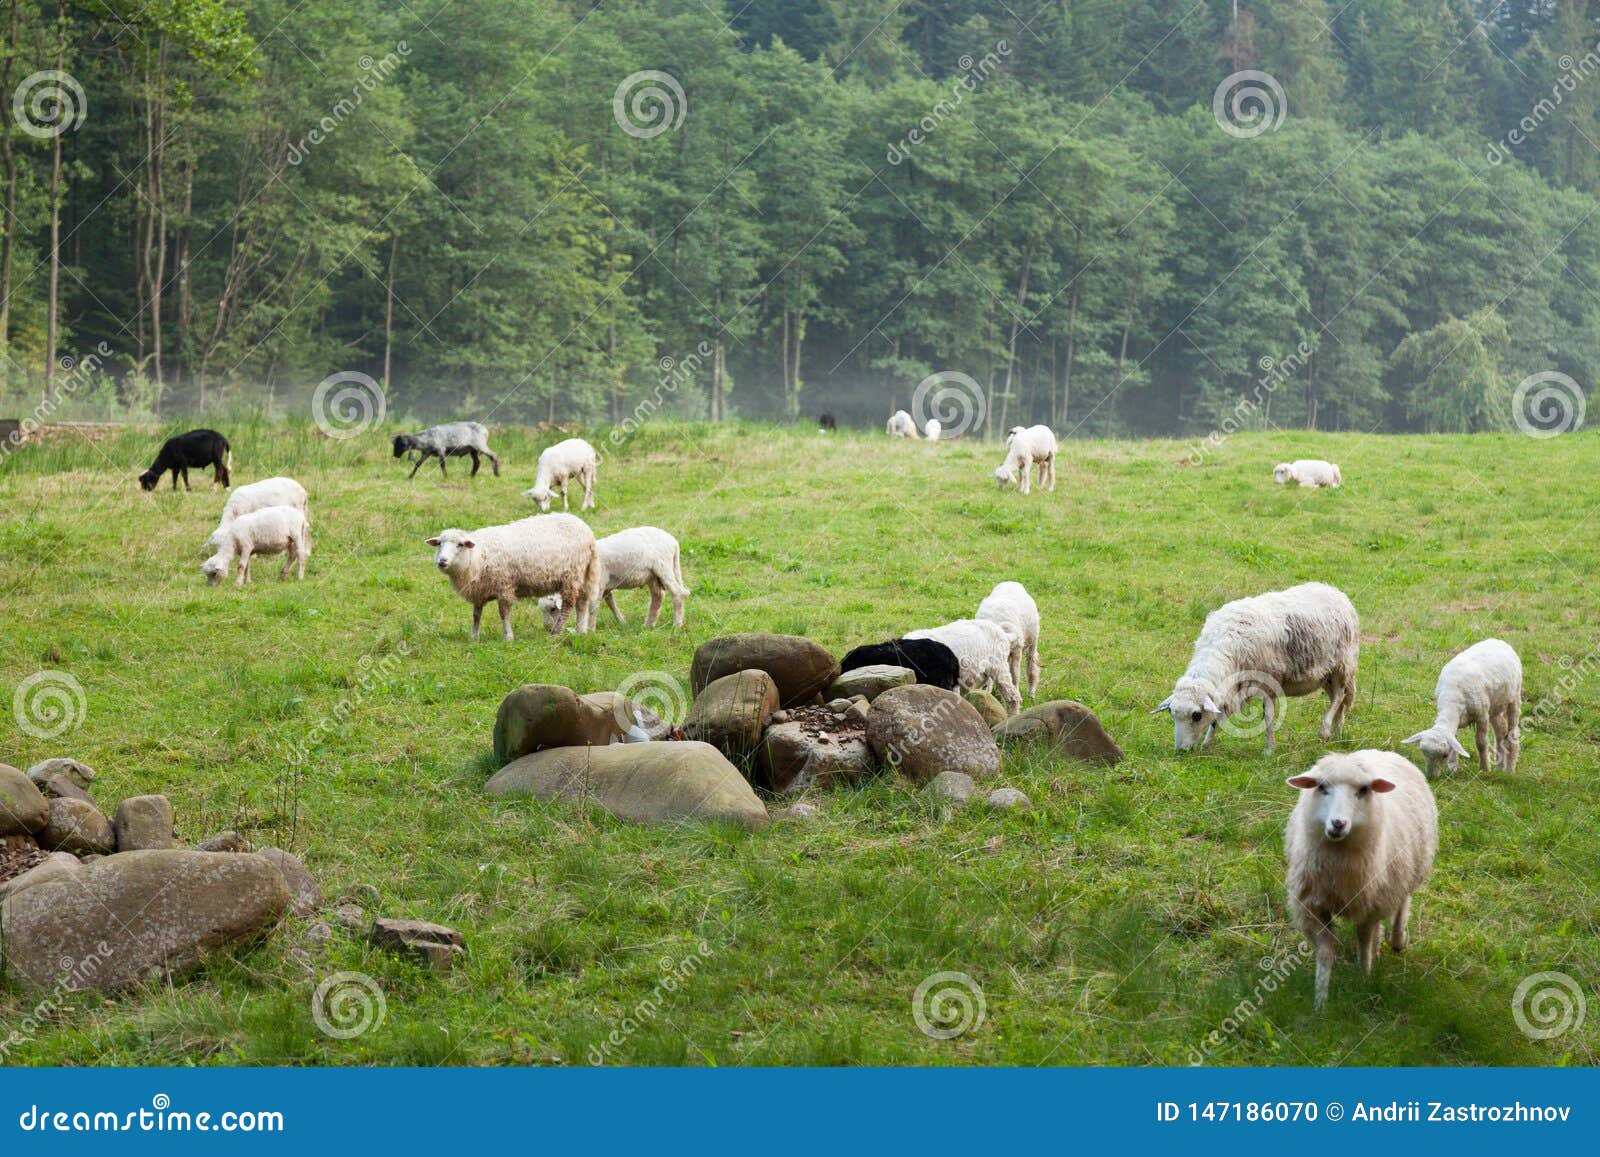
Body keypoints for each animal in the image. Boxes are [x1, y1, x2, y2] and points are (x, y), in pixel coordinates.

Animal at [426, 513, 599, 641]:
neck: (478, 555)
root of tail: (586, 529)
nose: (442, 561)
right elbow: (476, 614)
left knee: (568, 606)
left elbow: (504, 613)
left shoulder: (504, 586)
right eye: (440, 543)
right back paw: (580, 631)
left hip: (571, 576)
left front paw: (508, 636)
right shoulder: (480, 590)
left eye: (460, 544)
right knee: (582, 603)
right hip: (581, 576)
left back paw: (556, 633)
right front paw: (474, 637)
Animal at [537, 526, 691, 631]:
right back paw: (648, 624)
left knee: (677, 593)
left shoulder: (599, 584)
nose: (547, 628)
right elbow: (610, 603)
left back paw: (676, 625)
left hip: (663, 567)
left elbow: (593, 607)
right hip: (651, 575)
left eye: (553, 609)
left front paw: (590, 630)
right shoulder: (606, 586)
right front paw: (621, 621)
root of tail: (673, 541)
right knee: (658, 596)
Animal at [1154, 581, 1359, 753]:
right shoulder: (1231, 689)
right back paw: (1337, 733)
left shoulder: (1268, 682)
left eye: (1196, 715)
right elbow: (1217, 718)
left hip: (1342, 665)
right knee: (1339, 700)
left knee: (1339, 696)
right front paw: (1207, 744)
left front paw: (1269, 749)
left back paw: (1325, 730)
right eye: (1172, 713)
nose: (1181, 751)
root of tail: (1335, 591)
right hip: (1326, 675)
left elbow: (1268, 716)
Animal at [1285, 749, 1438, 1010]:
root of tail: (1380, 751)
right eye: (1322, 787)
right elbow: (1326, 952)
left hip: (1404, 872)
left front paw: (1364, 979)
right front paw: (1320, 1003)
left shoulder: (1370, 905)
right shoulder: (1312, 907)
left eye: (1364, 790)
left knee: (1402, 904)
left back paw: (1397, 940)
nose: (1338, 823)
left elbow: (1364, 942)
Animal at [1402, 638, 1522, 777]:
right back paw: (1499, 766)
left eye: (1444, 755)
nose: (1431, 777)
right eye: (1424, 753)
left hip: (1514, 696)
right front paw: (1453, 767)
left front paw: (1485, 768)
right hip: (1495, 706)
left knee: (1513, 733)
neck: (1452, 698)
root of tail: (1497, 640)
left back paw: (1509, 770)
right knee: (1501, 730)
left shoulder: (1482, 716)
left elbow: (1481, 743)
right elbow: (1455, 740)